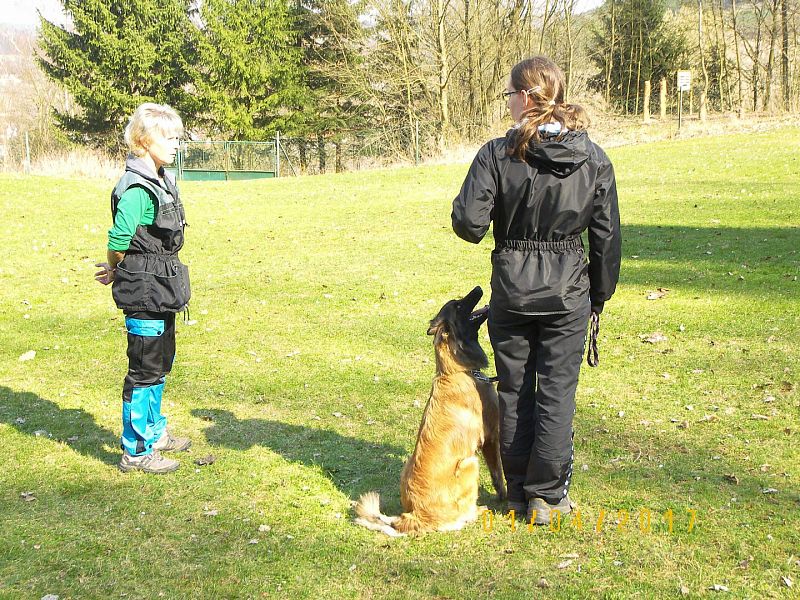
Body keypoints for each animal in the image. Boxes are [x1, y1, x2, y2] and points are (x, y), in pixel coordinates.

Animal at [354, 286, 506, 536]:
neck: (455, 371)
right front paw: (504, 496)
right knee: (462, 514)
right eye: (458, 305)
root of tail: (413, 517)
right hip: (469, 463)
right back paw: (478, 510)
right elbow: (498, 474)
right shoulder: (491, 437)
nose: (479, 288)